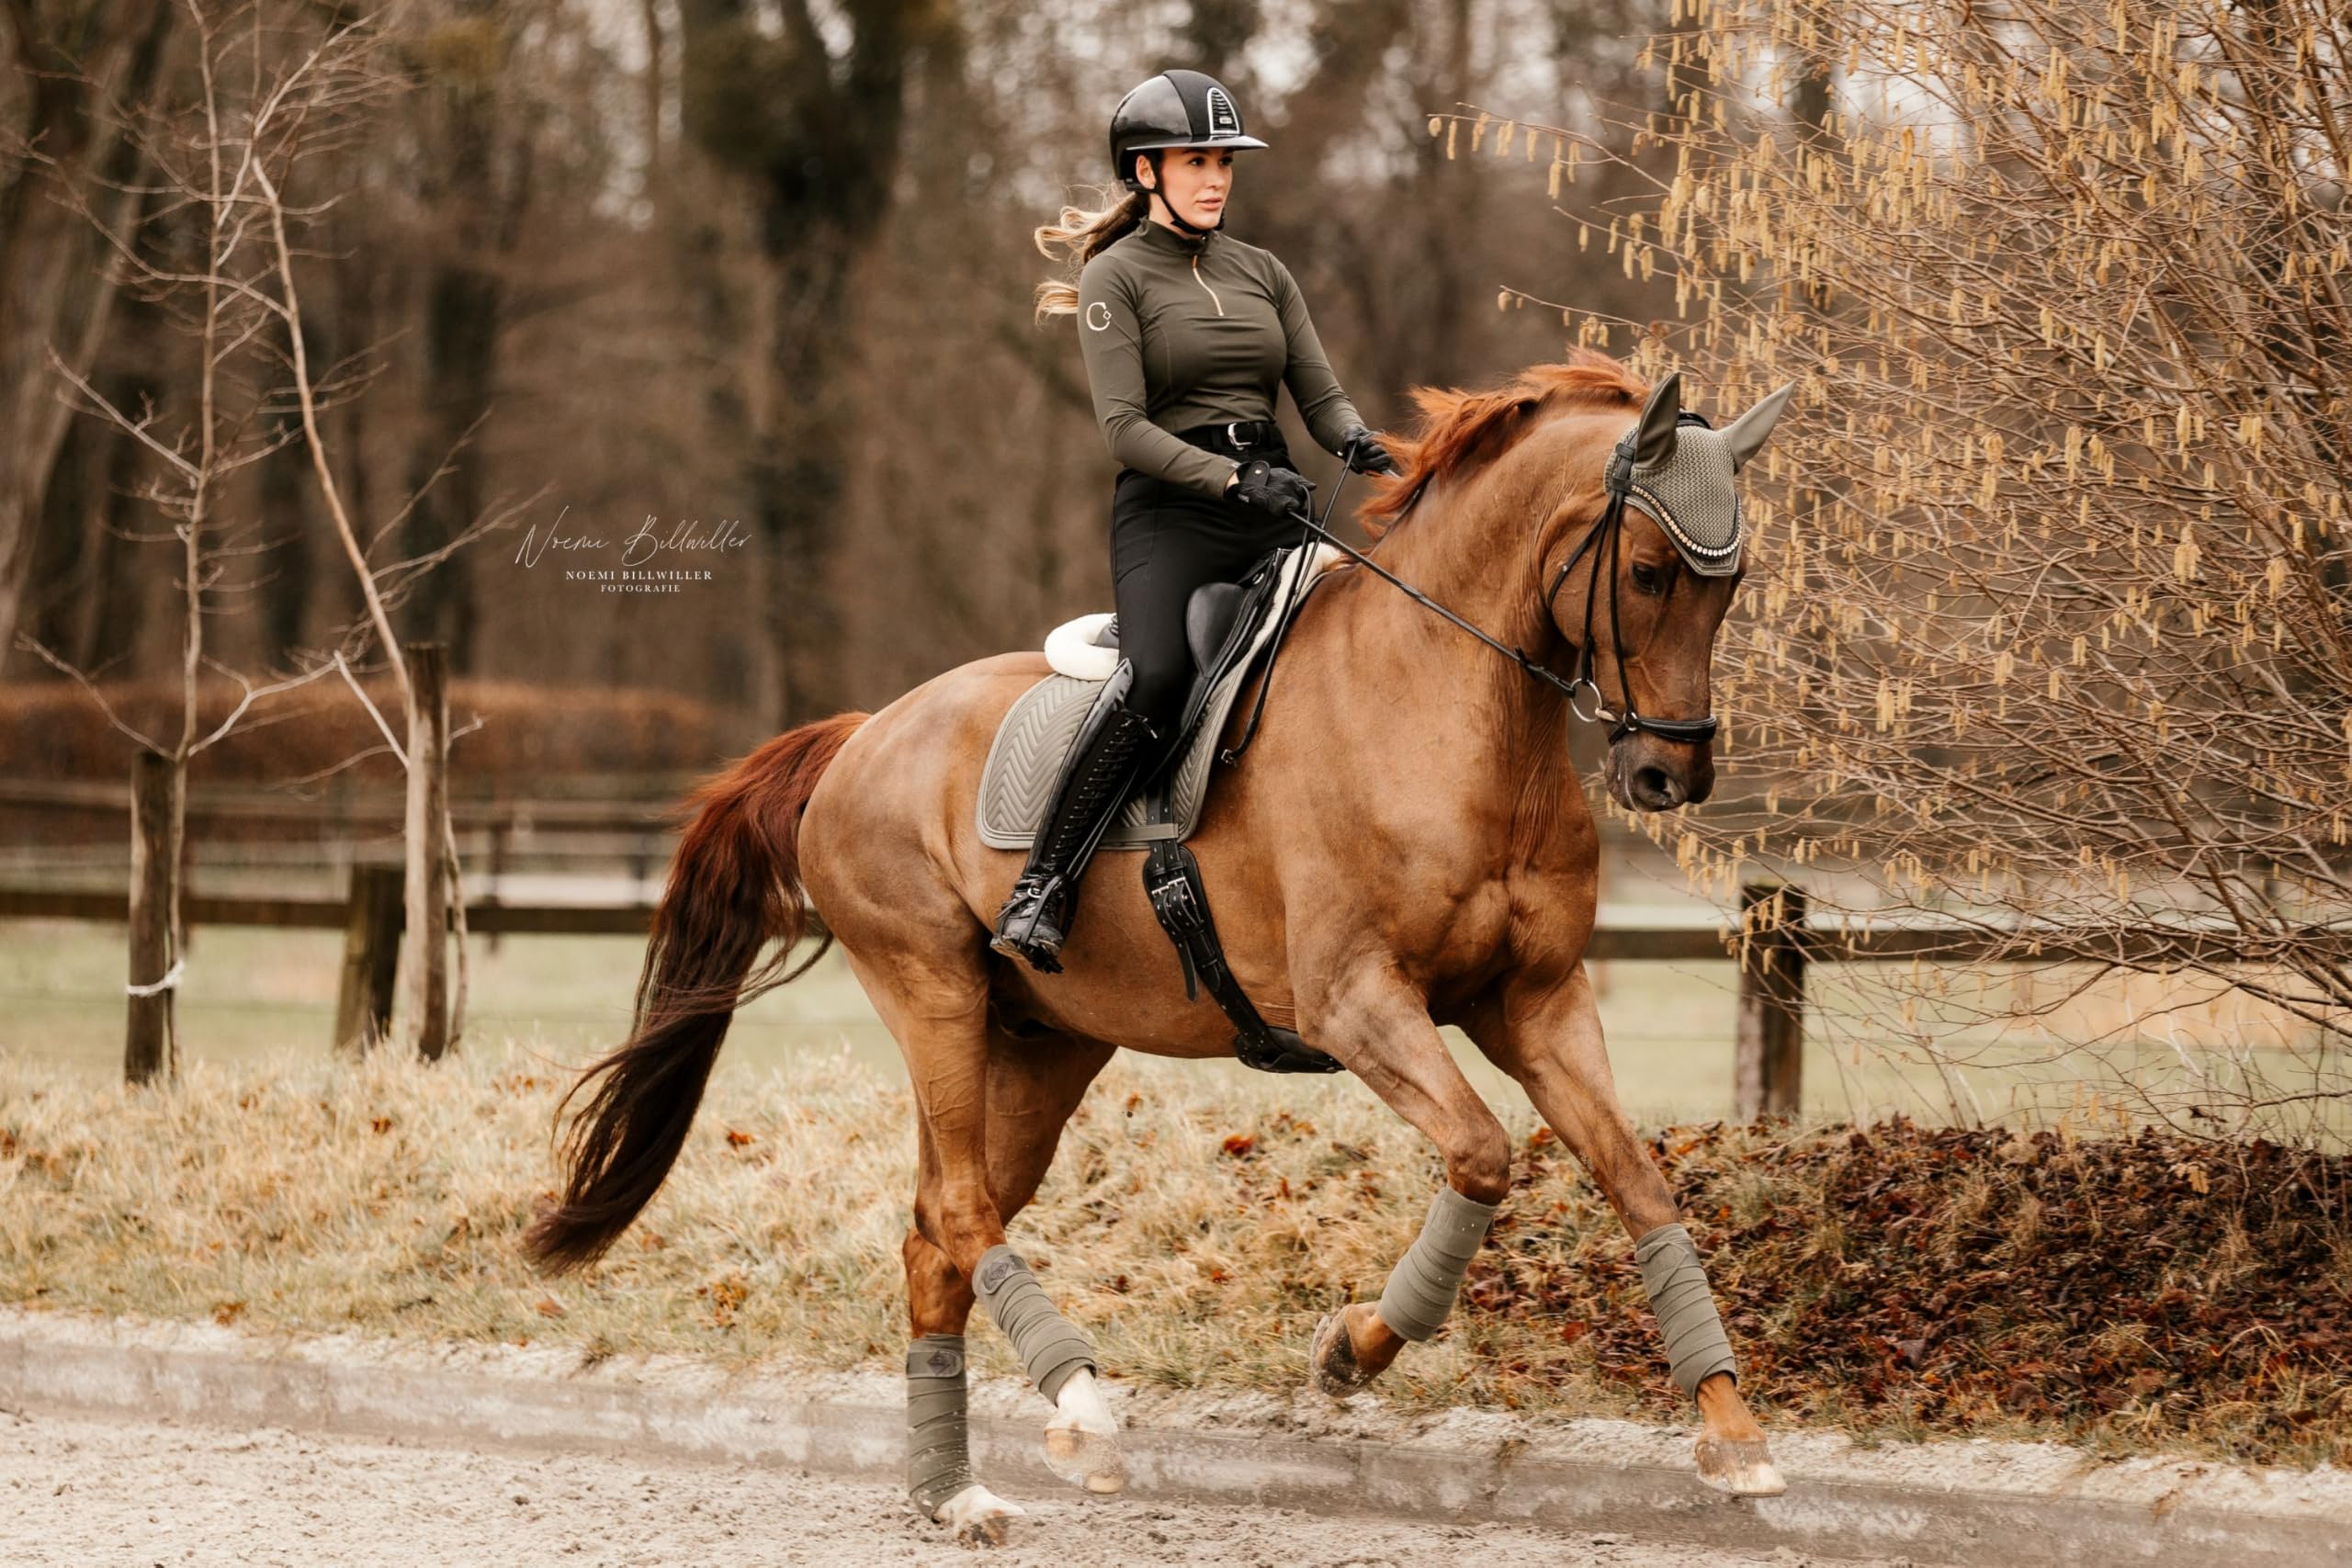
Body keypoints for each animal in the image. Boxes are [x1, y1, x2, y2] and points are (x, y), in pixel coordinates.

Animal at [524, 348, 1797, 1546]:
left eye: (1731, 589)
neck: (1446, 707)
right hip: (932, 994)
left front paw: (1733, 1434)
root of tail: (860, 734)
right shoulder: (1356, 1004)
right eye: (1647, 574)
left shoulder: (1535, 1000)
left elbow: (1634, 1179)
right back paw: (1083, 1411)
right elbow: (1484, 1155)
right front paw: (1350, 1350)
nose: (1667, 775)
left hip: (1041, 1047)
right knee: (964, 1214)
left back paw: (954, 1495)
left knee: (938, 1236)